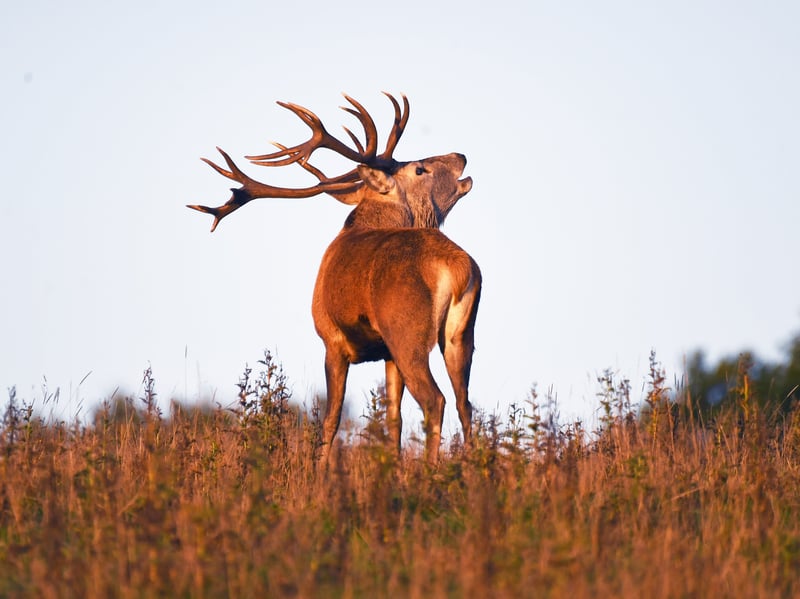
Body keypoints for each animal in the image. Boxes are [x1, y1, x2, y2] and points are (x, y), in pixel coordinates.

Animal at [189, 93, 481, 463]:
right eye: (419, 168)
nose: (461, 155)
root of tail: (457, 266)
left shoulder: (331, 339)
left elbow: (330, 420)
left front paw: (321, 470)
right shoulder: (385, 352)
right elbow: (393, 420)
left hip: (407, 332)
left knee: (435, 400)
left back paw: (433, 471)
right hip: (460, 335)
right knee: (464, 402)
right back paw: (471, 466)